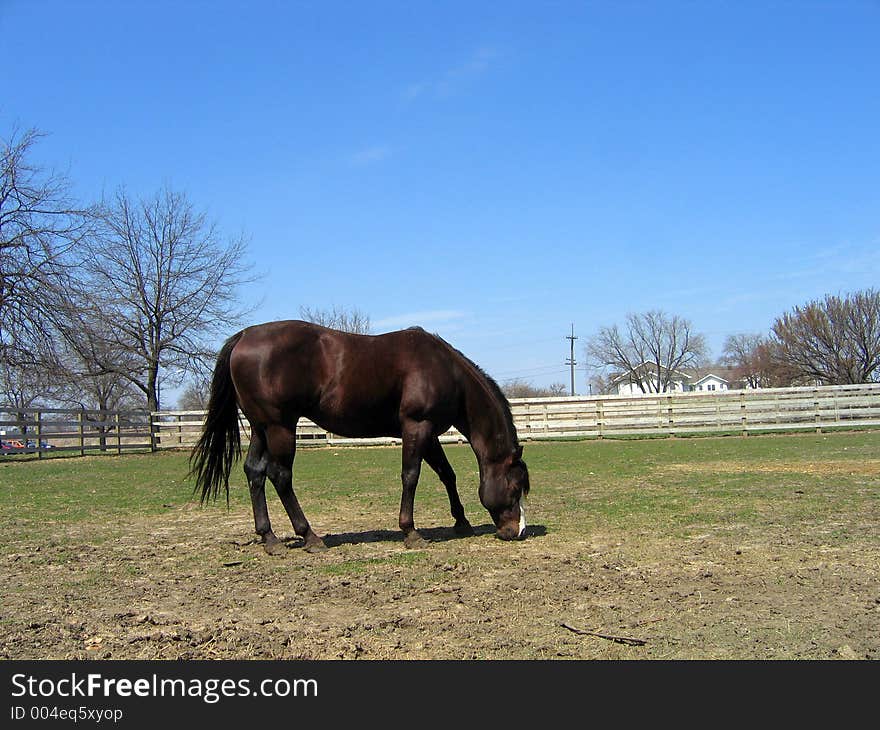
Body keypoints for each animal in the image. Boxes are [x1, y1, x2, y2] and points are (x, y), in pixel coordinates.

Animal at [191, 318, 528, 552]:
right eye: (515, 487)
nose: (518, 531)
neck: (446, 371)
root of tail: (244, 335)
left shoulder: (429, 433)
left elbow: (447, 474)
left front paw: (461, 521)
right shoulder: (417, 426)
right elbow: (411, 476)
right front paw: (410, 531)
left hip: (261, 428)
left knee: (255, 473)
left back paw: (269, 538)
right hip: (279, 427)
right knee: (280, 475)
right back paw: (310, 536)